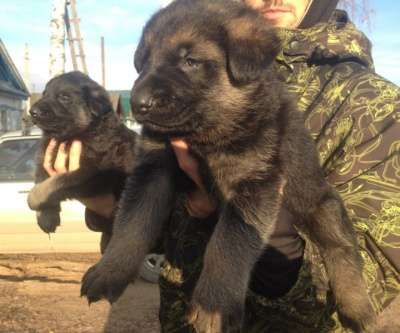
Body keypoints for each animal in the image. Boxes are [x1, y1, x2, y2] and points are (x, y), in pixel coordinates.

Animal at [27, 70, 138, 236]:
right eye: (44, 94)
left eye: (64, 97)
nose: (32, 112)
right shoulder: (44, 158)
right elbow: (42, 179)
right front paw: (46, 218)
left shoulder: (91, 172)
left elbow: (55, 182)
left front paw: (33, 198)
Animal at [80, 1, 376, 330]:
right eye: (143, 62)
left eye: (190, 61)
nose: (139, 104)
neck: (205, 133)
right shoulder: (152, 170)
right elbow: (132, 223)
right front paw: (110, 271)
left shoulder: (253, 184)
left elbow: (228, 244)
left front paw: (214, 305)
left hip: (321, 204)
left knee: (342, 249)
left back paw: (357, 308)